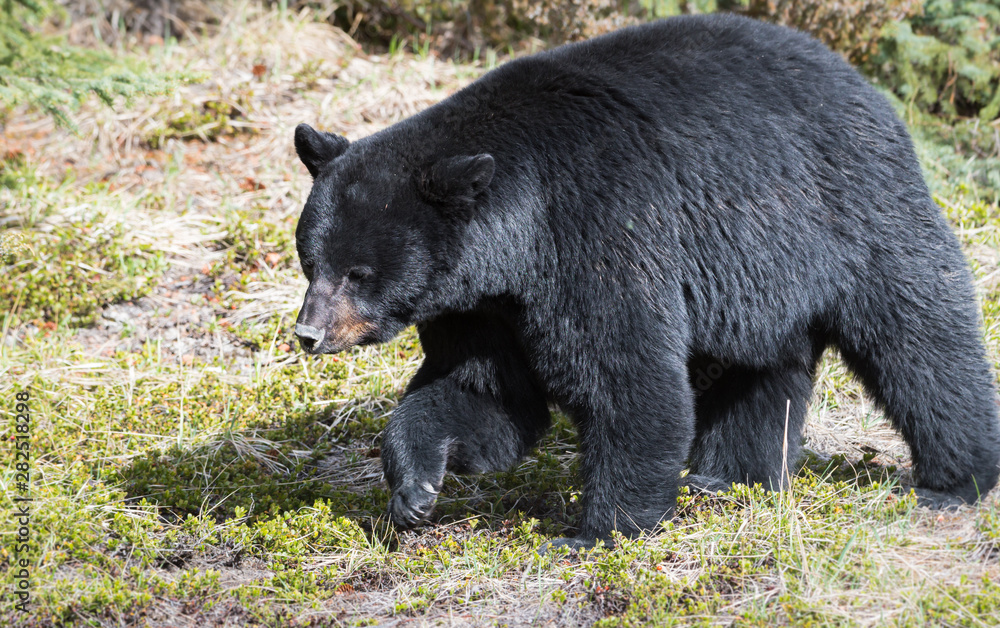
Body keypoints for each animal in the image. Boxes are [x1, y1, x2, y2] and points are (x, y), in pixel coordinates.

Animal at [292, 13, 1000, 549]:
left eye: (359, 273)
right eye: (311, 261)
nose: (307, 334)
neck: (516, 236)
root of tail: (863, 83)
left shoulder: (597, 234)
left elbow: (625, 378)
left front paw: (597, 532)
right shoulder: (482, 304)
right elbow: (484, 390)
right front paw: (415, 488)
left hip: (848, 211)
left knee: (918, 333)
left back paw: (955, 479)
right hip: (756, 279)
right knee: (758, 368)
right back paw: (728, 478)